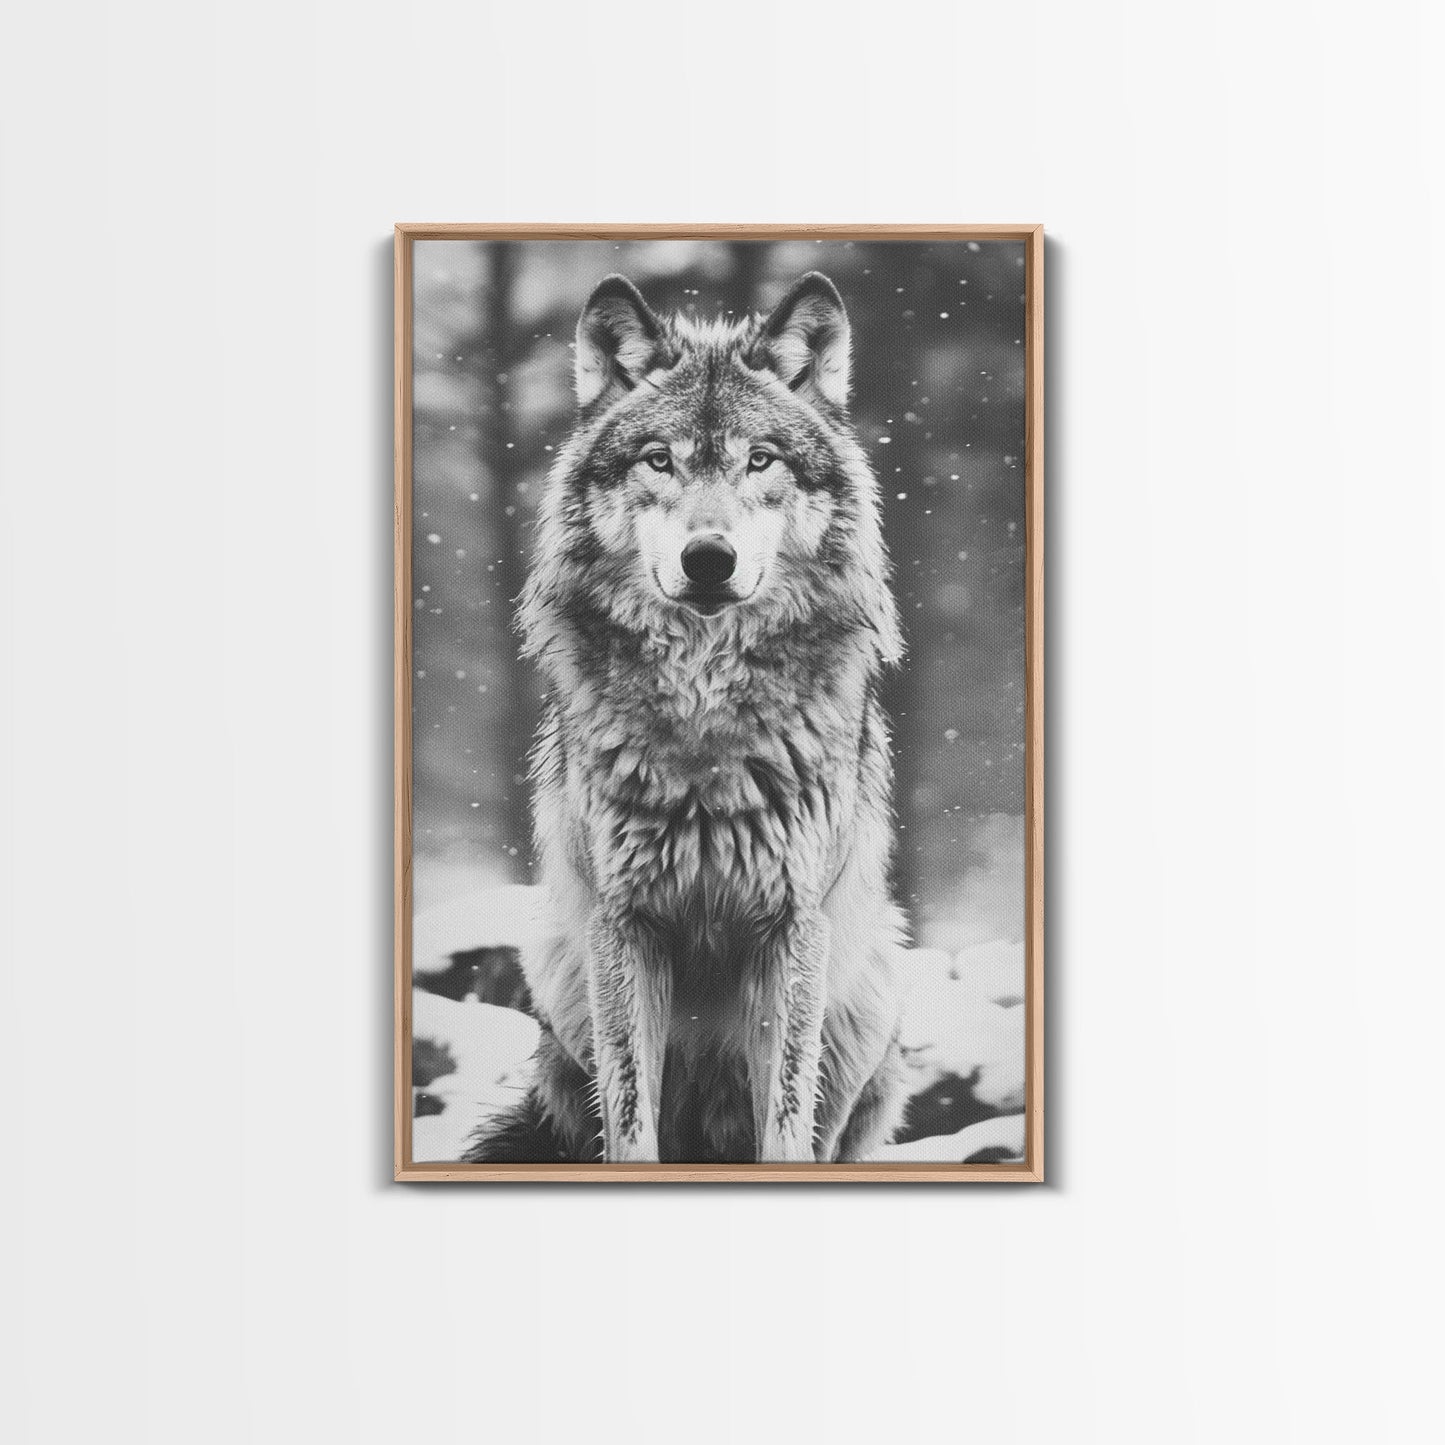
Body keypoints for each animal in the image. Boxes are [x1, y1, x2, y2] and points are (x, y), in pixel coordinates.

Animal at [466, 270, 908, 1164]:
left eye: (760, 458)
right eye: (659, 459)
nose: (709, 559)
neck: (706, 707)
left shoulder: (790, 926)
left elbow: (786, 1123)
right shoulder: (624, 924)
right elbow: (630, 1122)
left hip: (873, 977)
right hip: (558, 965)